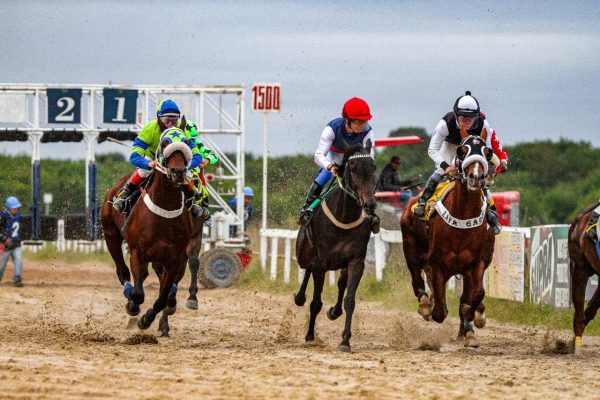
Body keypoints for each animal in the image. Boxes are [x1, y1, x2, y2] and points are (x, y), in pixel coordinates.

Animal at [101, 123, 195, 336]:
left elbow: (162, 297)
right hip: (111, 234)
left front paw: (146, 319)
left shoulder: (174, 259)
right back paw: (128, 294)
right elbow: (138, 293)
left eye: (186, 141)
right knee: (123, 272)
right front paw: (133, 307)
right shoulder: (138, 252)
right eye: (165, 142)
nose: (178, 172)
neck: (164, 211)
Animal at [294, 141, 376, 354]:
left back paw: (334, 311)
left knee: (341, 283)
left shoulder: (356, 261)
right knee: (306, 268)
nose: (370, 204)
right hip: (304, 252)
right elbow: (315, 302)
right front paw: (310, 335)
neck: (344, 215)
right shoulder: (320, 262)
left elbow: (349, 300)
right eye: (353, 168)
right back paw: (299, 297)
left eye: (373, 167)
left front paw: (345, 340)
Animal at [400, 134, 494, 346]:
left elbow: (476, 294)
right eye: (462, 151)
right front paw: (433, 307)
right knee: (417, 278)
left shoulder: (475, 263)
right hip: (410, 248)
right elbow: (440, 312)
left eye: (487, 152)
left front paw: (471, 319)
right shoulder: (439, 265)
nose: (475, 177)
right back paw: (425, 303)